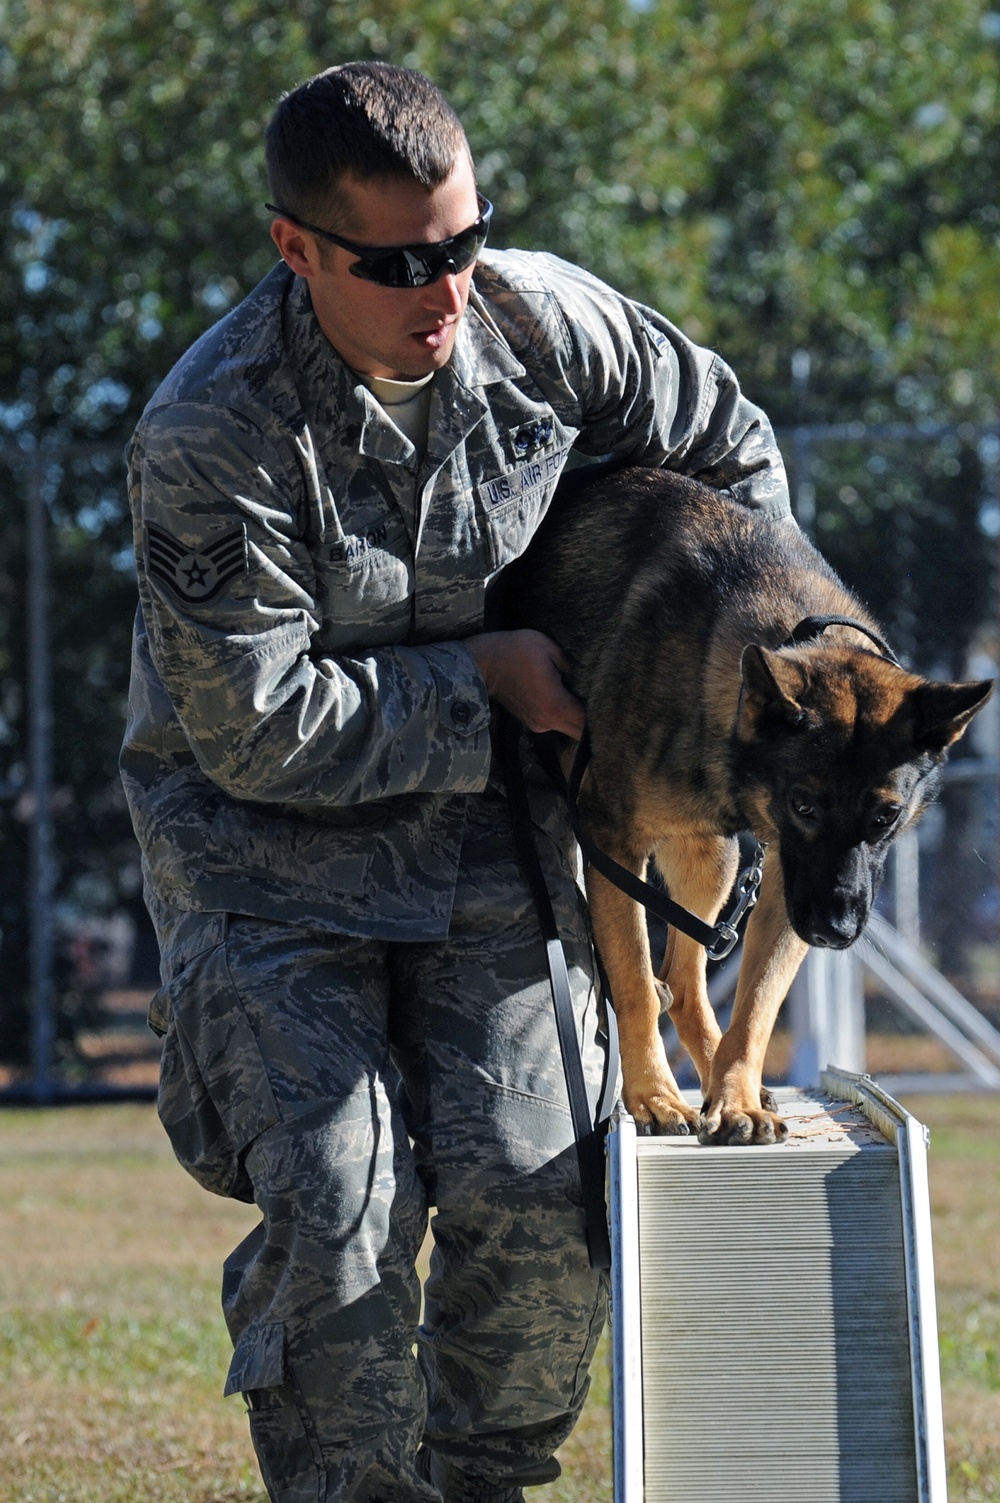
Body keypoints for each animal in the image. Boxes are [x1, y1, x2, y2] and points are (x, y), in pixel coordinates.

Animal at [499, 462, 992, 1142]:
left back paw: (722, 1079)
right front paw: (653, 1097)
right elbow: (632, 980)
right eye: (805, 806)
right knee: (660, 979)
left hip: (712, 859)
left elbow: (756, 1002)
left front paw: (735, 1099)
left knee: (684, 981)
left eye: (886, 816)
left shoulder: (786, 878)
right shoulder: (614, 845)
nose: (835, 932)